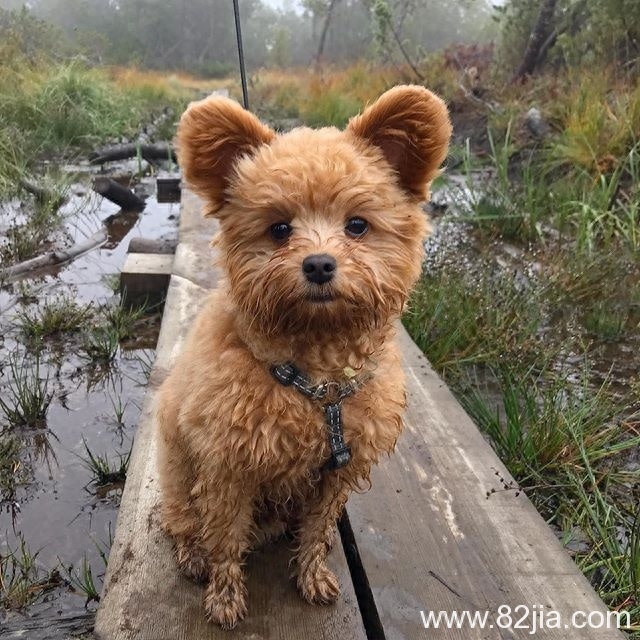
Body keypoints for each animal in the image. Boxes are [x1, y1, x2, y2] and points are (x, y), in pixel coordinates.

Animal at [158, 86, 452, 632]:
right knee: (183, 522)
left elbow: (315, 530)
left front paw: (311, 573)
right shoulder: (228, 469)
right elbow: (225, 541)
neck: (316, 383)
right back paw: (192, 554)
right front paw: (224, 598)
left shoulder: (336, 473)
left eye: (357, 225)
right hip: (179, 475)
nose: (318, 265)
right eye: (279, 229)